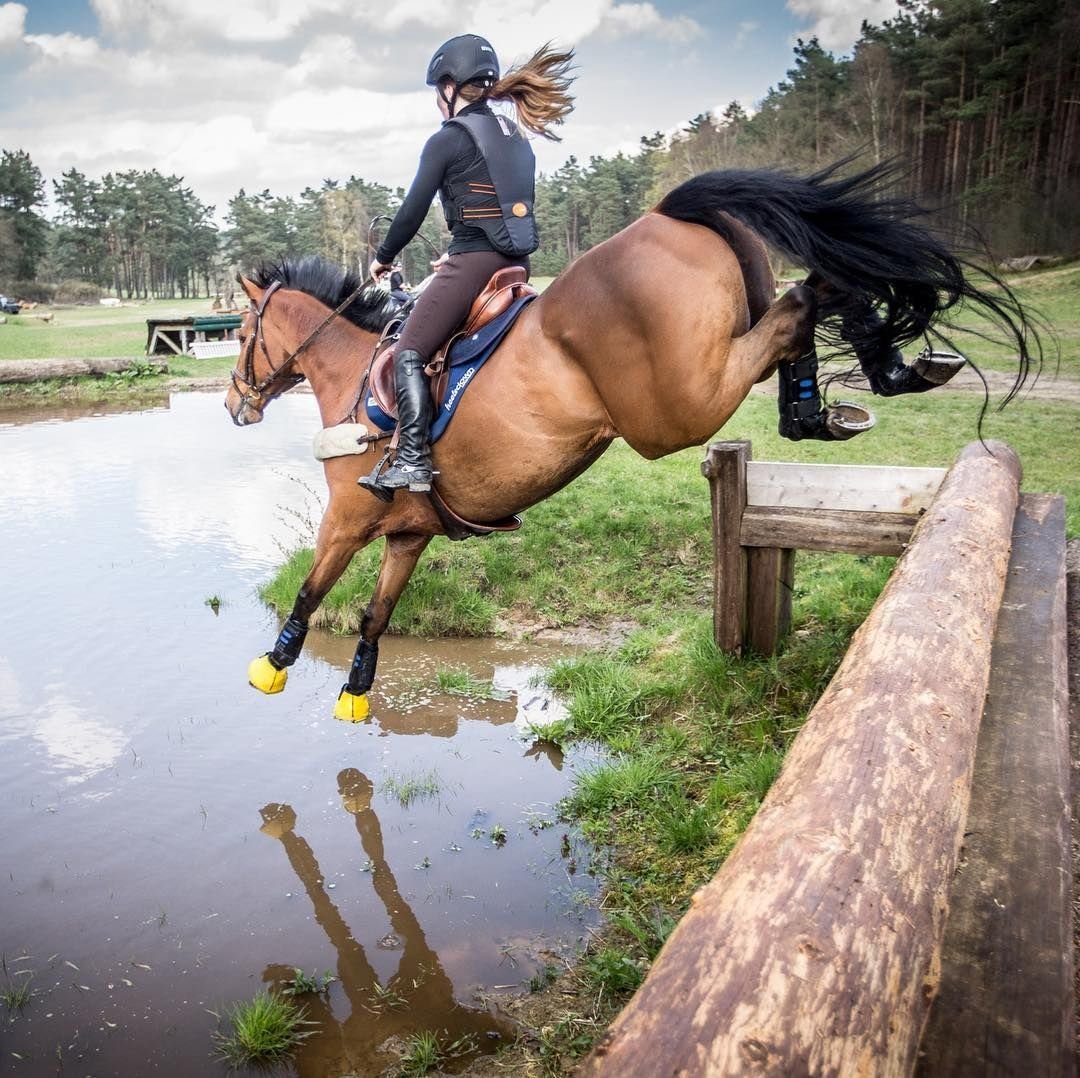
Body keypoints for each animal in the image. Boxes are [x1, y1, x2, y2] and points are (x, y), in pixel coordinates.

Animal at [225, 159, 1036, 721]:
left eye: (238, 334)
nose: (236, 405)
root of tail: (665, 214)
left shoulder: (349, 517)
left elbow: (311, 587)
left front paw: (273, 664)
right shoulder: (408, 533)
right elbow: (374, 612)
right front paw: (358, 689)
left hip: (674, 410)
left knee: (800, 304)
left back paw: (862, 370)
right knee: (809, 294)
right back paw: (840, 394)